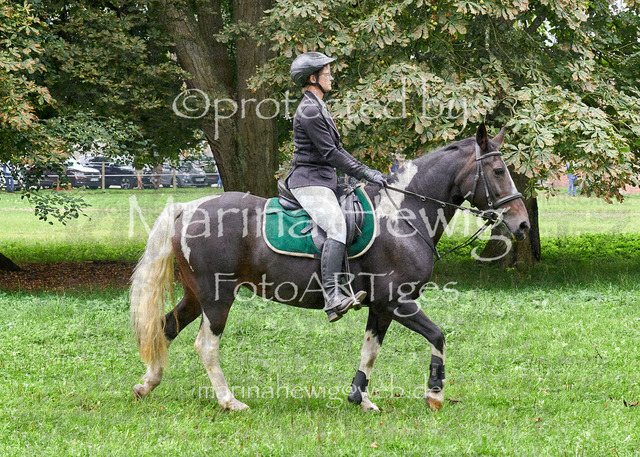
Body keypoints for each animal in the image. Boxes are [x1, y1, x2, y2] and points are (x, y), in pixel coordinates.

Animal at [130, 124, 530, 411]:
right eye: (498, 171)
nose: (523, 224)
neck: (403, 214)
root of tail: (189, 207)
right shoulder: (398, 302)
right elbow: (438, 335)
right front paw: (434, 395)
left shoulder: (381, 307)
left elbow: (370, 350)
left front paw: (360, 398)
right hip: (217, 296)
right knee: (206, 345)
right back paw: (229, 401)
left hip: (196, 294)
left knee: (166, 327)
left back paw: (147, 384)